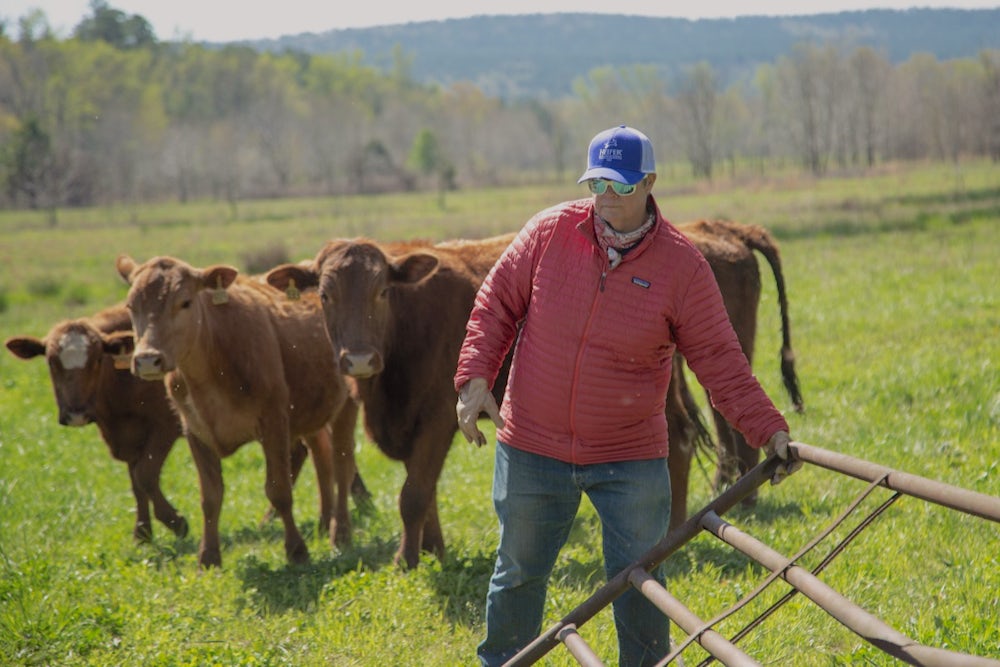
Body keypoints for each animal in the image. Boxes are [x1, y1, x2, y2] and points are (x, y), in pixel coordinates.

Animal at [4, 306, 188, 544]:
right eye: (51, 362)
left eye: (98, 360)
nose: (76, 414)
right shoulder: (128, 436)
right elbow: (136, 482)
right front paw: (142, 533)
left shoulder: (165, 426)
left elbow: (145, 476)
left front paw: (175, 521)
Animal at [115, 256, 358, 568]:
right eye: (131, 306)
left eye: (184, 302)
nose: (147, 360)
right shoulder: (195, 431)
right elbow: (210, 497)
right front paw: (208, 556)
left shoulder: (274, 422)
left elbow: (279, 490)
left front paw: (296, 550)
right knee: (323, 459)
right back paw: (325, 521)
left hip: (346, 404)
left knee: (342, 465)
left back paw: (340, 532)